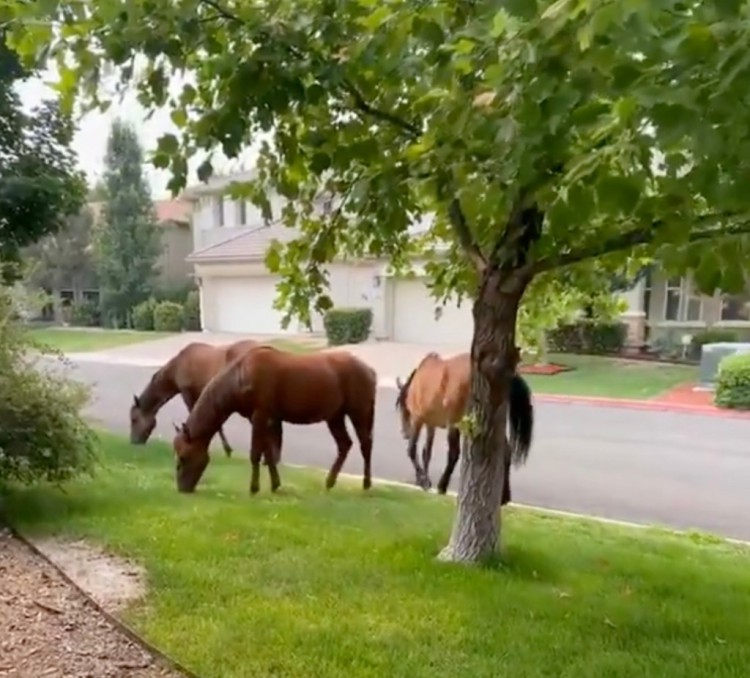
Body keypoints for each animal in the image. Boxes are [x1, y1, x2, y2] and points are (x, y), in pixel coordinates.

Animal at [173, 348, 378, 496]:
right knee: (345, 444)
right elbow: (269, 453)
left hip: (360, 411)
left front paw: (254, 487)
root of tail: (371, 371)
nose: (182, 488)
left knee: (365, 444)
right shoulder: (265, 418)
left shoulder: (260, 415)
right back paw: (329, 482)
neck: (239, 380)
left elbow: (256, 453)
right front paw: (275, 484)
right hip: (335, 416)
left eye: (183, 457)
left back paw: (367, 484)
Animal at [394, 350, 536, 504]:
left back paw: (442, 485)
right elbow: (427, 452)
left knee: (454, 453)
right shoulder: (431, 424)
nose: (404, 433)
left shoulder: (418, 419)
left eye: (402, 406)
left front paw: (423, 481)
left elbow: (412, 450)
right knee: (506, 451)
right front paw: (424, 479)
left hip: (456, 421)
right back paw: (504, 496)